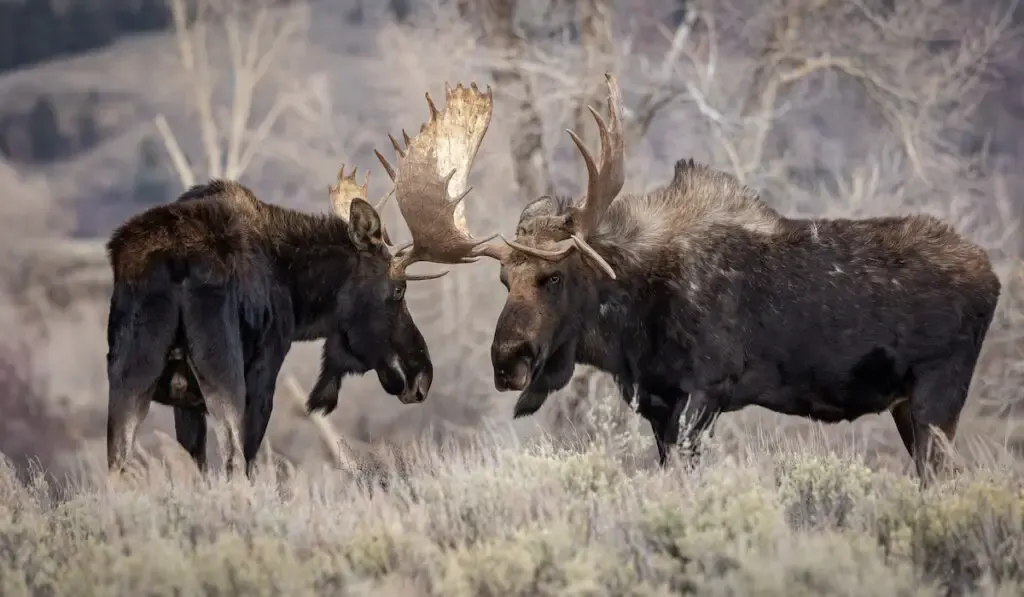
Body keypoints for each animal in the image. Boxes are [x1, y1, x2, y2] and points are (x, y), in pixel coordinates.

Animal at [101, 81, 493, 481]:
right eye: (399, 290)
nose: (423, 376)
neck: (296, 287)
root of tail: (175, 263)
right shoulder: (265, 368)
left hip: (128, 371)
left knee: (118, 464)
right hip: (222, 368)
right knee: (232, 458)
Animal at [407, 72, 999, 483]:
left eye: (553, 277)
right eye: (504, 281)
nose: (507, 360)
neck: (631, 323)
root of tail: (992, 276)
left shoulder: (706, 390)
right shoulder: (658, 401)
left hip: (938, 393)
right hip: (909, 405)